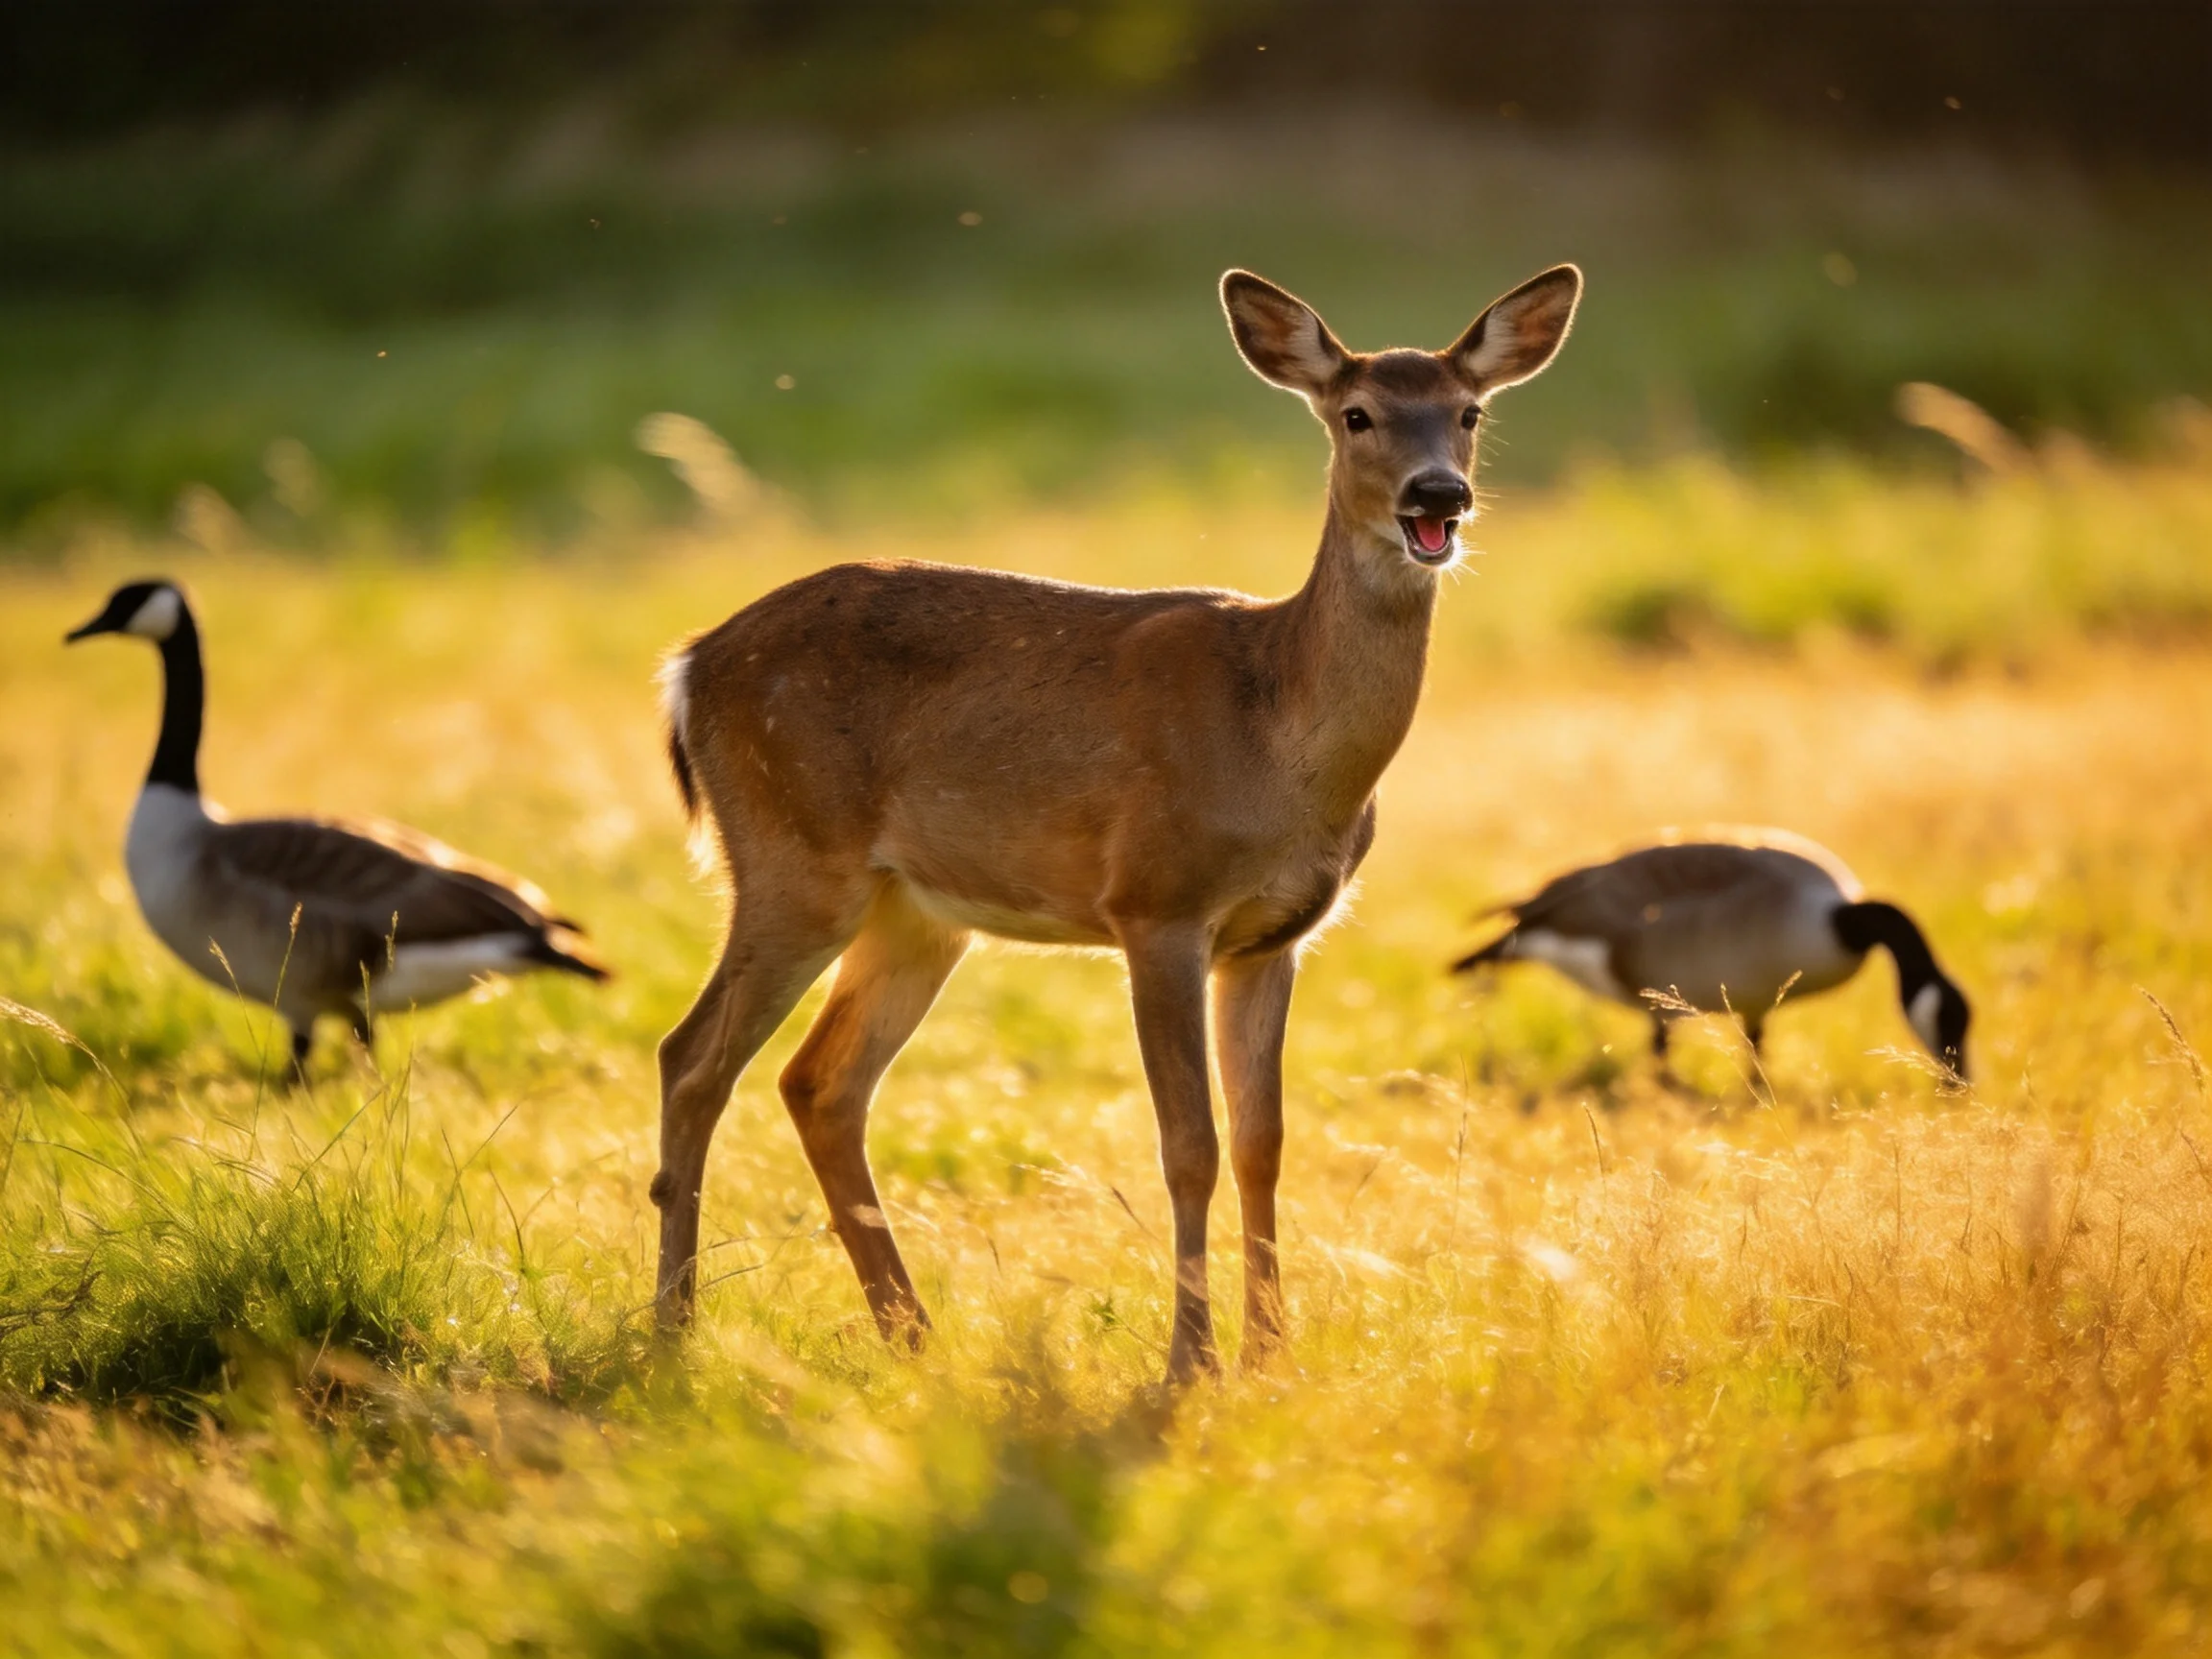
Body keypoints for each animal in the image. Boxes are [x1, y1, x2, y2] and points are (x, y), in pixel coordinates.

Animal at [651, 261, 1582, 1384]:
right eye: (1356, 414)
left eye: (1469, 412)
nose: (1439, 493)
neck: (1277, 738)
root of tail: (689, 665)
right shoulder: (1156, 903)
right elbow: (1190, 1145)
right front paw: (1193, 1362)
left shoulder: (1273, 937)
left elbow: (1264, 1140)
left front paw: (1273, 1351)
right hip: (792, 854)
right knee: (691, 1059)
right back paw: (672, 1330)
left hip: (915, 912)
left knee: (818, 1083)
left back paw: (913, 1336)